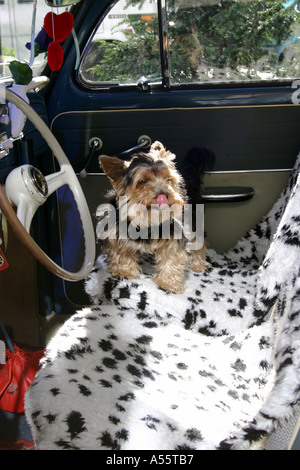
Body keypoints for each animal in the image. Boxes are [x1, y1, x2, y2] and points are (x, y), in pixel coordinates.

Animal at [97, 140, 214, 294]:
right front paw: (125, 272)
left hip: (194, 218)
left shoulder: (175, 232)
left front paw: (169, 283)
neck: (147, 217)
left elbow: (172, 256)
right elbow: (121, 252)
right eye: (143, 181)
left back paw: (199, 264)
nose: (164, 195)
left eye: (168, 179)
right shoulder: (116, 231)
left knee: (199, 240)